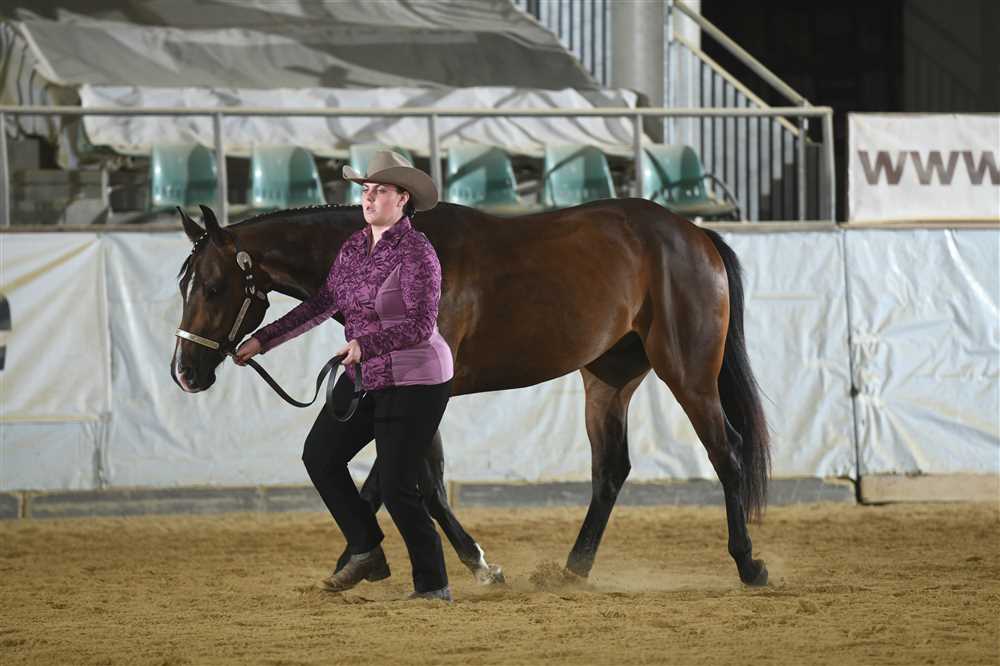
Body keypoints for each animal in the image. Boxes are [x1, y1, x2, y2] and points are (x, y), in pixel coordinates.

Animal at [171, 198, 771, 587]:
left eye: (215, 286)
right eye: (184, 285)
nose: (185, 372)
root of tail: (694, 234)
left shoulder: (426, 394)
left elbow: (419, 484)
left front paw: (480, 564)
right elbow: (387, 483)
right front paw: (355, 560)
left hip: (688, 372)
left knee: (727, 453)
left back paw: (749, 565)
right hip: (608, 377)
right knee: (611, 470)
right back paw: (571, 570)